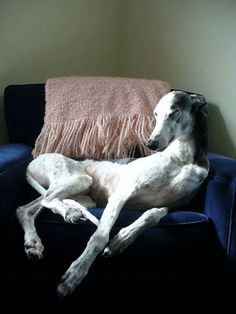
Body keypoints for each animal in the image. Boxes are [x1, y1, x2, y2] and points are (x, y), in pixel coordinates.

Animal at [16, 90, 208, 296]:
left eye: (174, 112)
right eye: (155, 114)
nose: (151, 144)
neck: (182, 158)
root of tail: (32, 161)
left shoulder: (172, 205)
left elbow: (152, 216)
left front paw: (121, 241)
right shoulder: (121, 194)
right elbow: (99, 237)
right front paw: (75, 273)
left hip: (81, 195)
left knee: (26, 209)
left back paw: (35, 241)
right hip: (78, 179)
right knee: (47, 201)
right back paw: (69, 214)